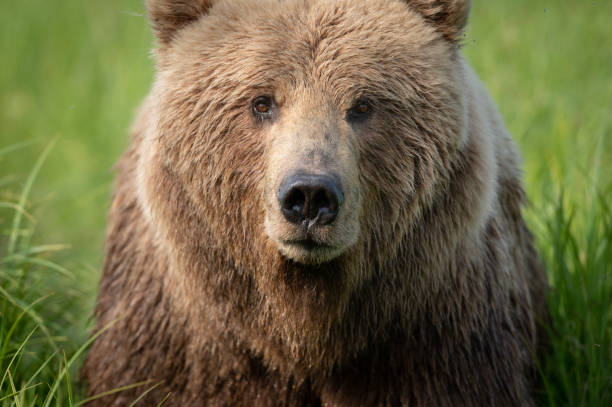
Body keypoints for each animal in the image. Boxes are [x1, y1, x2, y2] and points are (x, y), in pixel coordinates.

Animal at [82, 0, 548, 406]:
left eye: (363, 104)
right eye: (262, 102)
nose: (309, 195)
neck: (303, 327)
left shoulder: (436, 339)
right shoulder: (181, 344)